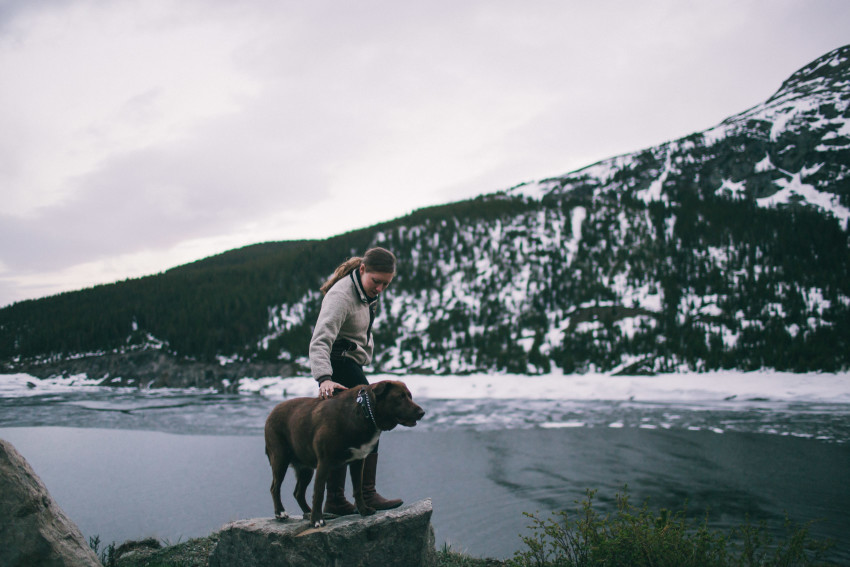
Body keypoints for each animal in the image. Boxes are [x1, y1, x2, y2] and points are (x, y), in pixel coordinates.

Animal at [264, 382, 422, 528]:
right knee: (275, 487)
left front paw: (363, 510)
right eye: (400, 397)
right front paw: (317, 520)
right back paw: (281, 513)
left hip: (306, 469)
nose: (422, 412)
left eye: (410, 396)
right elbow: (319, 492)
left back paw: (309, 513)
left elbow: (358, 489)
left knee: (298, 493)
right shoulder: (324, 462)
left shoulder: (358, 460)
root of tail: (271, 412)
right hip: (280, 459)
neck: (364, 410)